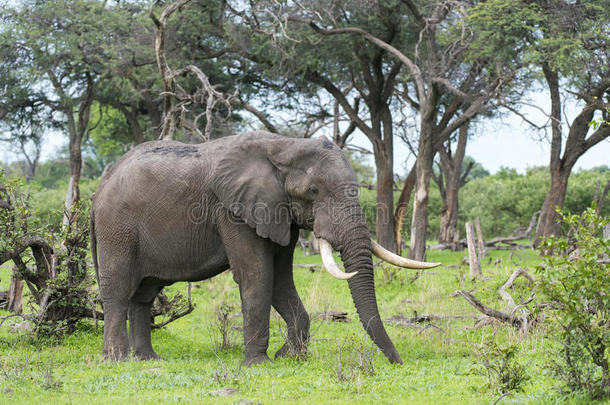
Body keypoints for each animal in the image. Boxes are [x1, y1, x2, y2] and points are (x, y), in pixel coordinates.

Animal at [90, 131, 436, 364]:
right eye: (313, 191)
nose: (397, 363)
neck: (285, 145)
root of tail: (99, 188)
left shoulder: (281, 212)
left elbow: (281, 279)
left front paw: (288, 357)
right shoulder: (232, 211)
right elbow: (257, 275)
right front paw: (258, 364)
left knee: (144, 293)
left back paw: (148, 360)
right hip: (117, 228)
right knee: (119, 288)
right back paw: (117, 360)